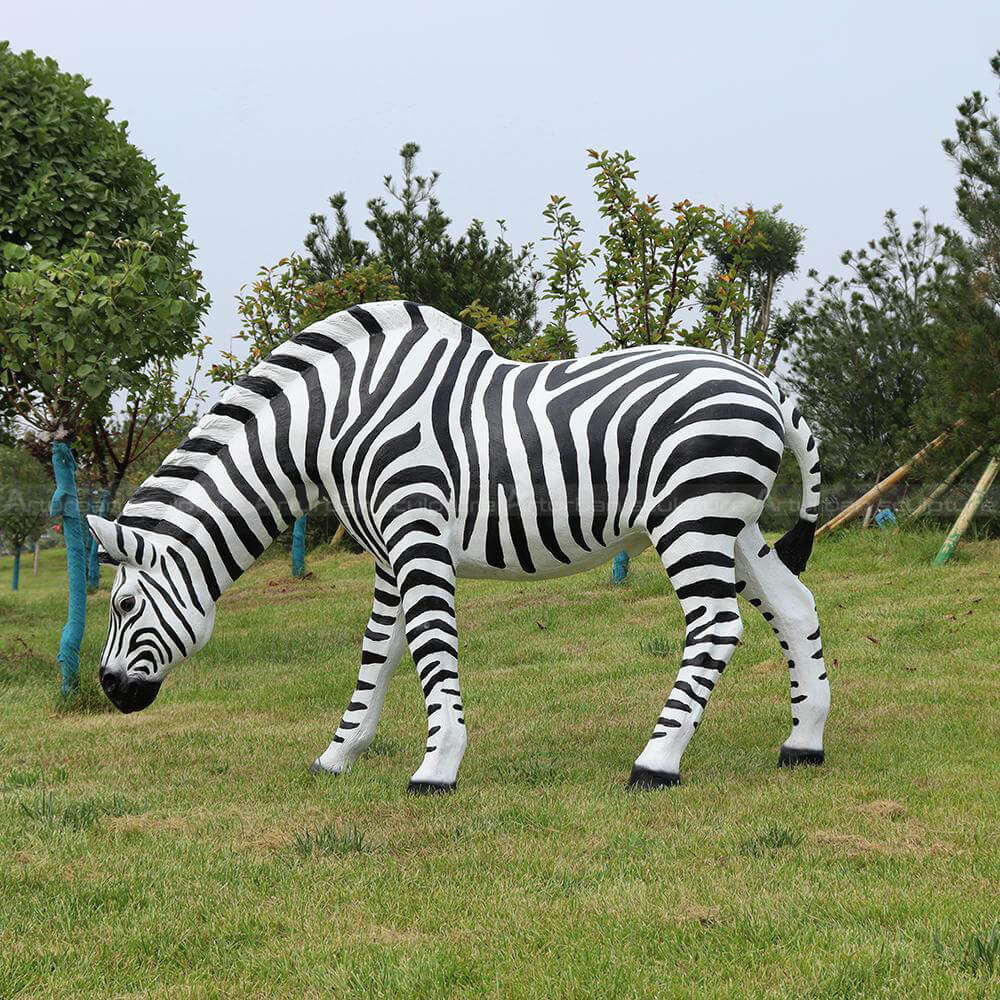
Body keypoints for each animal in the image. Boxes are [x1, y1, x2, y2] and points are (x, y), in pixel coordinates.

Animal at [88, 301, 830, 792]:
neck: (329, 428)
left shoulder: (416, 532)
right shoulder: (386, 553)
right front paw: (337, 756)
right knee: (795, 609)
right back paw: (804, 743)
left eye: (124, 605)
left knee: (718, 626)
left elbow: (428, 648)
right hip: (734, 524)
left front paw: (436, 767)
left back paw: (656, 762)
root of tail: (765, 383)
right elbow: (377, 656)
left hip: (691, 516)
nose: (108, 690)